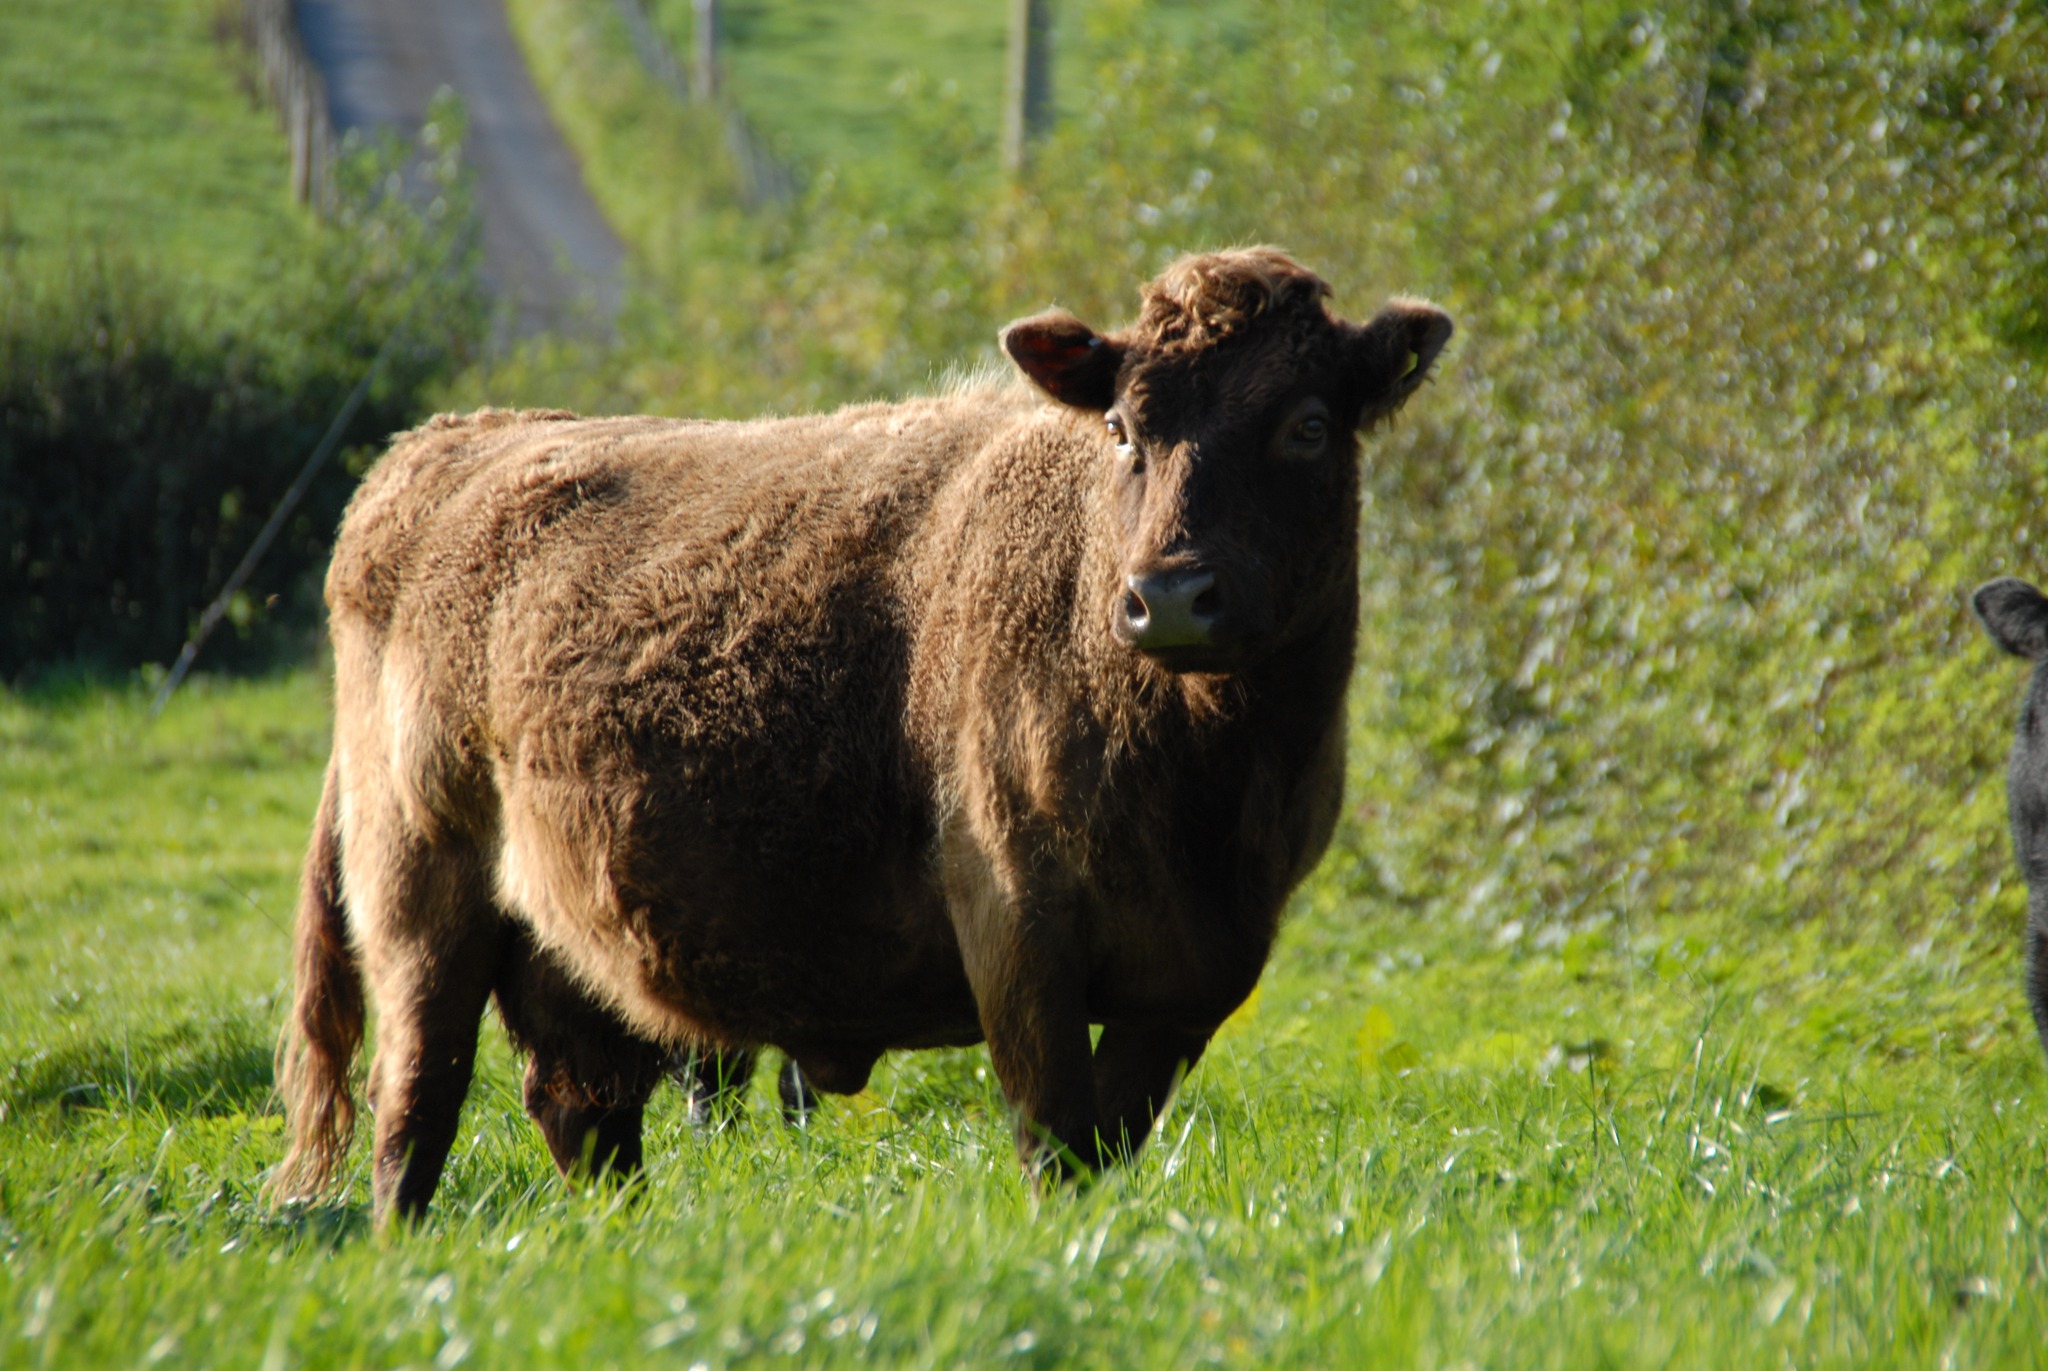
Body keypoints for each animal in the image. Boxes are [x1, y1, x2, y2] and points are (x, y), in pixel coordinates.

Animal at [271, 248, 1453, 1224]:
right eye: (1122, 428)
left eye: (1307, 425)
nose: (1167, 597)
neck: (1208, 783)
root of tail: (451, 443)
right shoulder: (1017, 927)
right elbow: (1058, 1143)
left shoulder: (1199, 971)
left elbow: (1109, 1139)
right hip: (419, 890)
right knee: (416, 1102)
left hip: (563, 937)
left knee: (583, 1107)